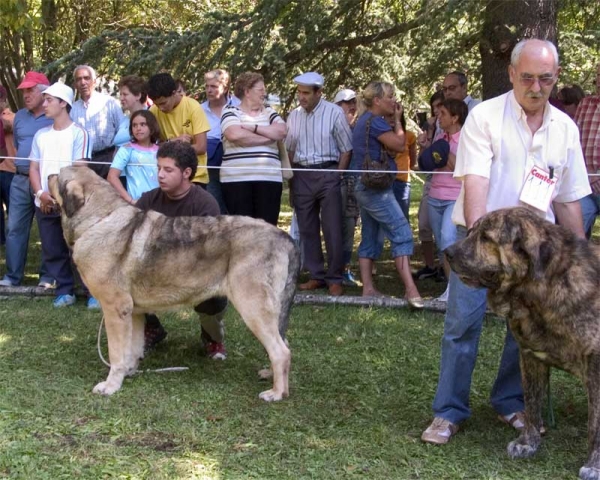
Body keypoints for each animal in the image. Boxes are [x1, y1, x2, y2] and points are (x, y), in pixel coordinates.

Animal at [48, 167, 300, 404]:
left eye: (58, 175)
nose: (48, 175)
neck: (99, 219)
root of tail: (284, 237)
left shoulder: (115, 310)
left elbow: (117, 353)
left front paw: (111, 385)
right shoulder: (133, 313)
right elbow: (132, 348)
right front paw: (129, 372)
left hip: (253, 307)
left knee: (280, 351)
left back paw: (277, 393)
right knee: (284, 344)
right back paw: (271, 376)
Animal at [442, 206, 596, 480]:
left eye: (486, 238)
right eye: (471, 232)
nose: (447, 252)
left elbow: (595, 426)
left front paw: (594, 464)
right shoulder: (531, 356)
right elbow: (532, 406)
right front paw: (528, 443)